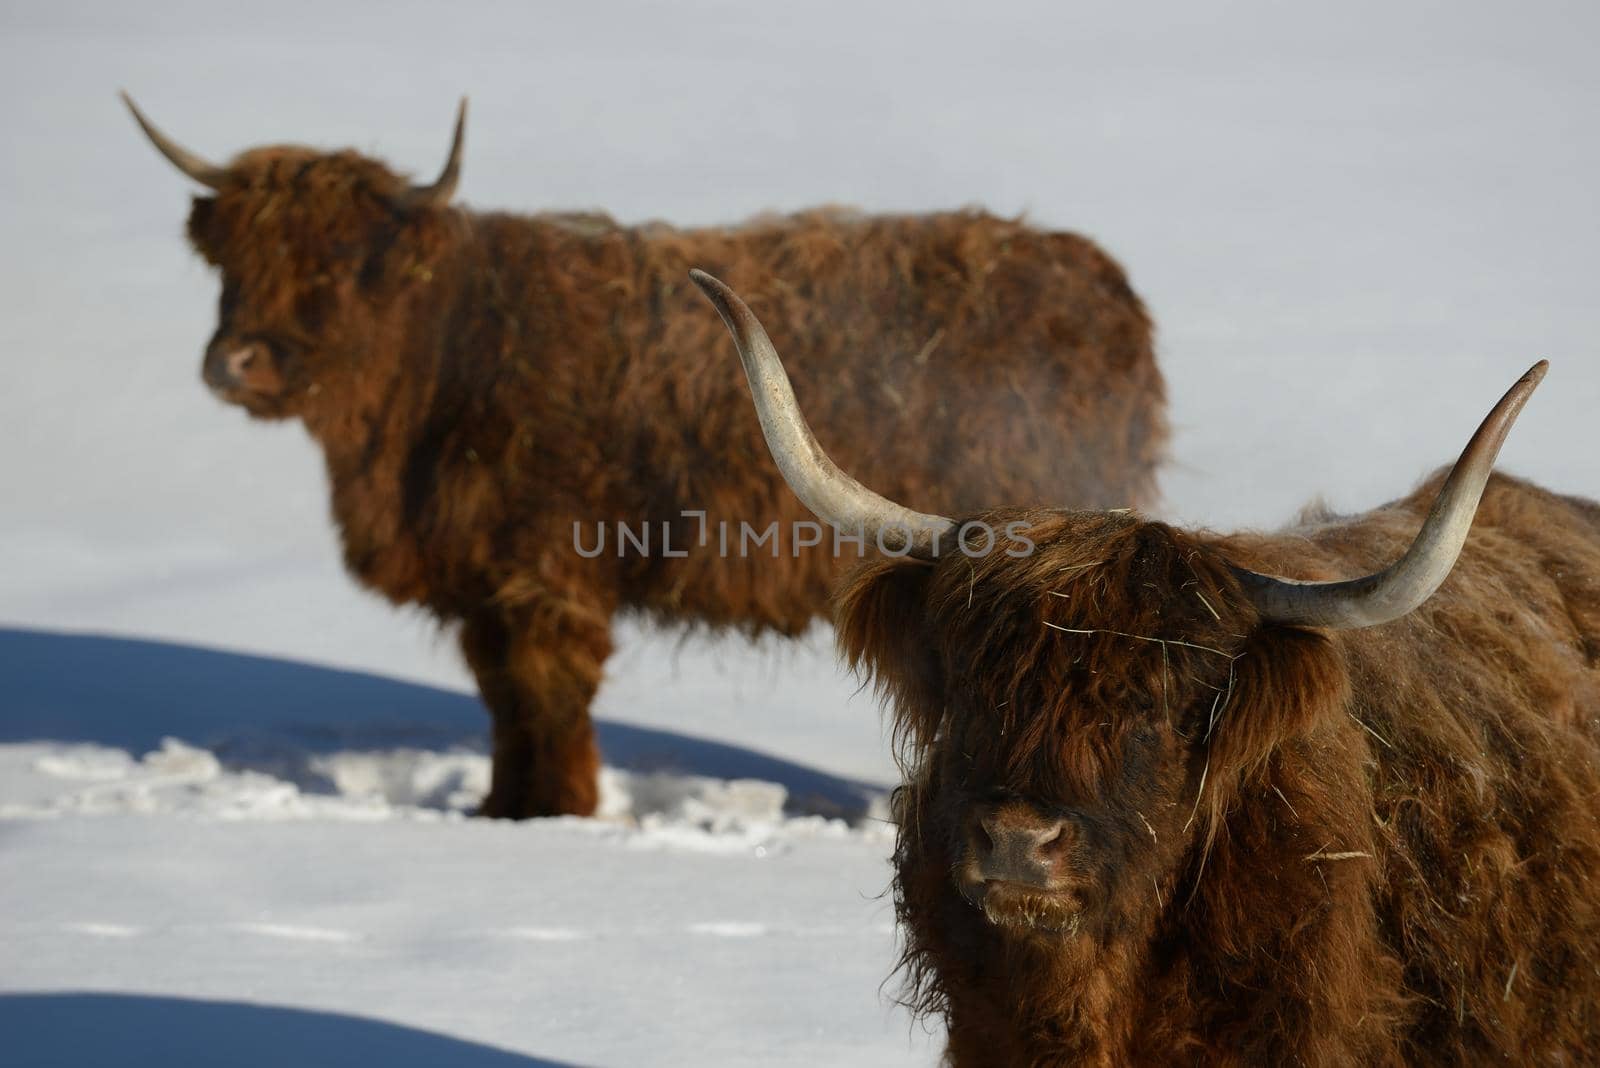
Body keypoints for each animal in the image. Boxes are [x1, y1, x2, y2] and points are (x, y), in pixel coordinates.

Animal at [116, 97, 1164, 818]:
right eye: (230, 262)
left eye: (337, 261)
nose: (234, 362)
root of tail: (1101, 283)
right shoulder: (488, 585)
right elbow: (505, 702)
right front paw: (502, 811)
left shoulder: (542, 576)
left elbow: (547, 699)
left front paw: (554, 815)